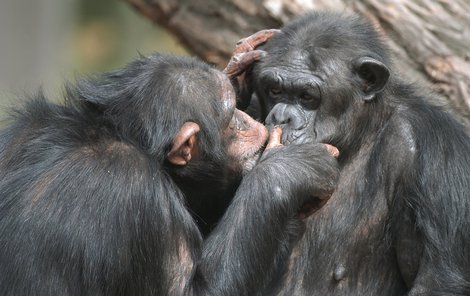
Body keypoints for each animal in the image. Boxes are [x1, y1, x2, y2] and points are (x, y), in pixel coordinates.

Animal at [0, 33, 340, 294]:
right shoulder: (142, 197)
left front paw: (237, 69)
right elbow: (196, 290)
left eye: (235, 108)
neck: (127, 138)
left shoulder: (25, 131)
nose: (248, 119)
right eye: (231, 116)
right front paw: (288, 169)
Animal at [242, 11, 470, 296]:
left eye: (307, 96)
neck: (360, 136)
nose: (282, 117)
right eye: (274, 90)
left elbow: (437, 277)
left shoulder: (435, 152)